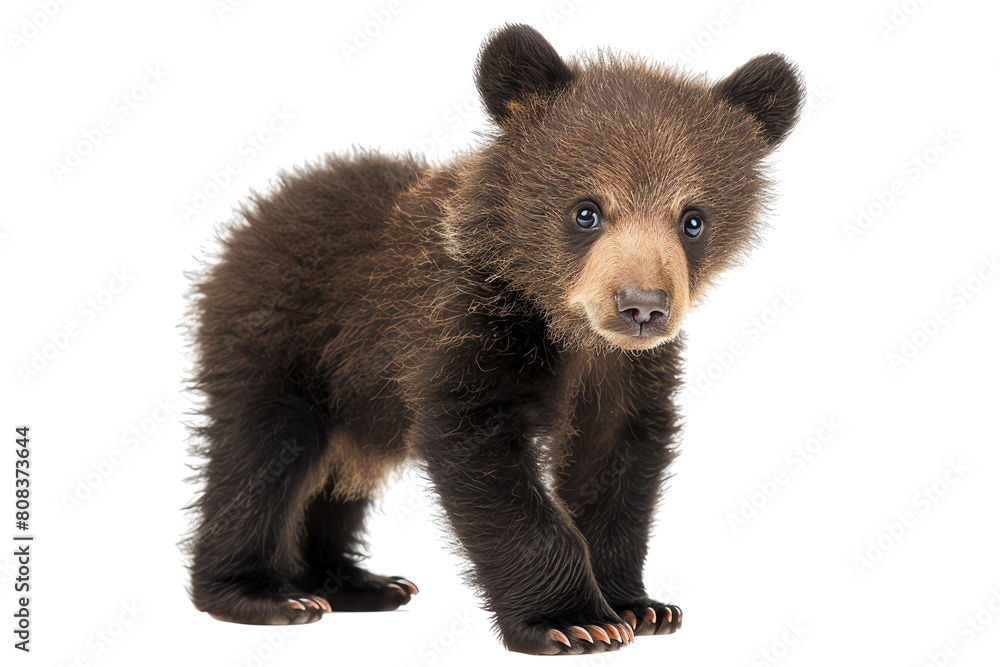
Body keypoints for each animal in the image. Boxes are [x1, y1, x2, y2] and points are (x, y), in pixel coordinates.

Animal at [184, 23, 804, 655]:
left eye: (693, 220)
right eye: (586, 211)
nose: (642, 307)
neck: (563, 326)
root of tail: (255, 216)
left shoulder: (629, 373)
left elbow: (617, 459)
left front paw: (640, 605)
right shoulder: (462, 327)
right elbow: (486, 459)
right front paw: (574, 620)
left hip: (356, 396)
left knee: (340, 472)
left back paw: (356, 583)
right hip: (279, 342)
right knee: (265, 453)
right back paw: (262, 595)